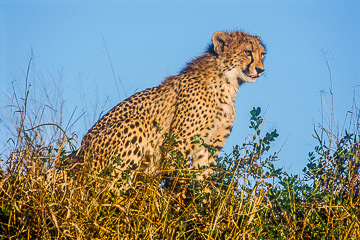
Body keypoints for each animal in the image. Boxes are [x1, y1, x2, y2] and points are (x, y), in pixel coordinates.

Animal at [71, 30, 266, 179]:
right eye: (248, 52)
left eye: (262, 54)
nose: (261, 69)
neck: (229, 83)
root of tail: (78, 153)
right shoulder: (179, 141)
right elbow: (177, 175)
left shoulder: (209, 145)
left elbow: (202, 179)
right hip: (135, 127)